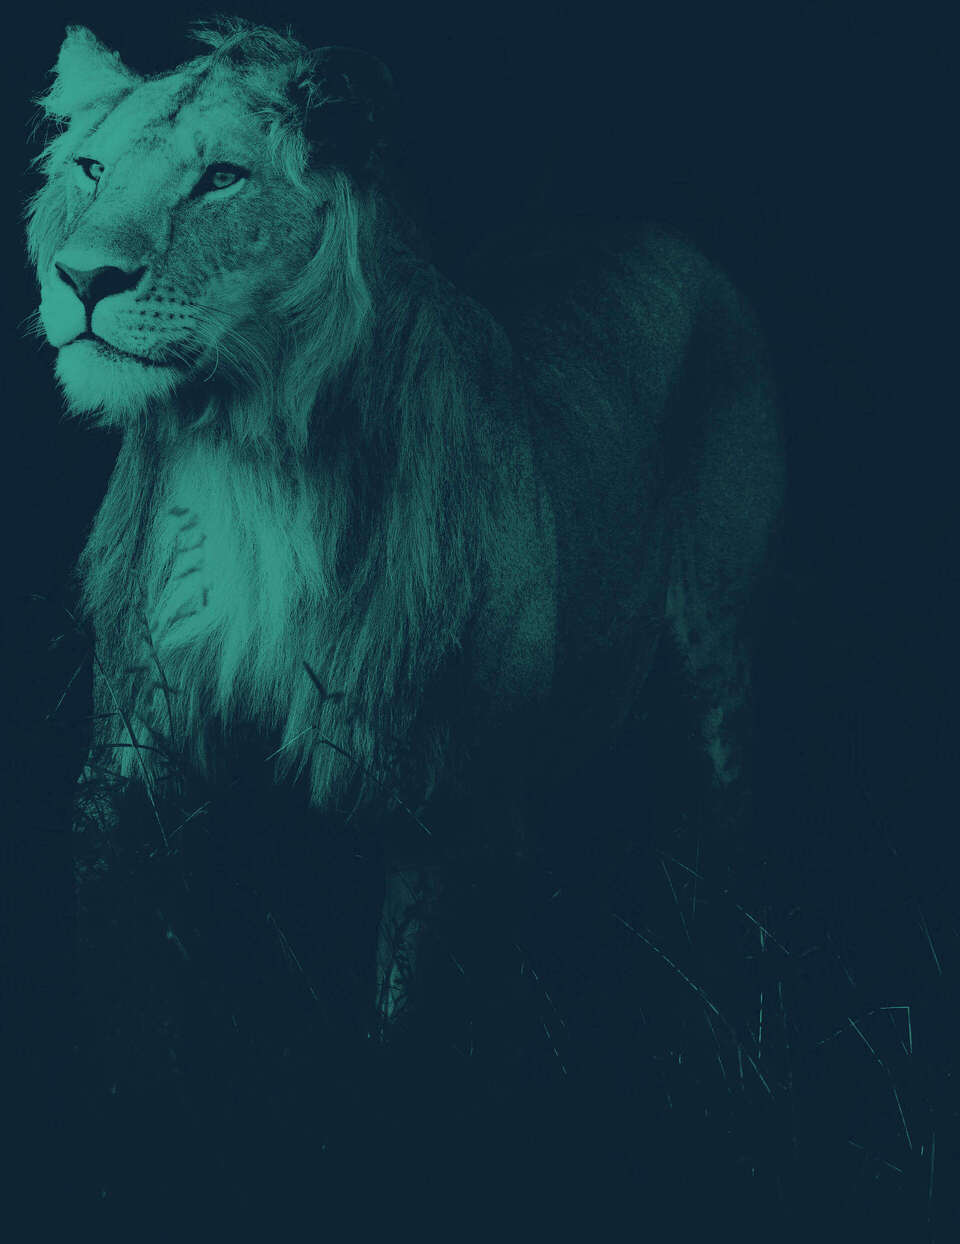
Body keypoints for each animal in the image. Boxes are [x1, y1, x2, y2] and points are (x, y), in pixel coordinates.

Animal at [27, 19, 784, 1037]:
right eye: (92, 168)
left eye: (220, 178)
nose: (82, 278)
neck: (242, 453)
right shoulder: (138, 741)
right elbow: (130, 964)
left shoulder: (447, 789)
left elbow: (410, 1010)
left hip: (715, 642)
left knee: (722, 816)